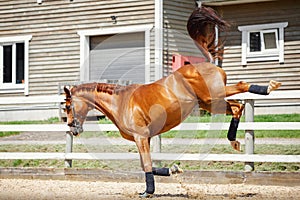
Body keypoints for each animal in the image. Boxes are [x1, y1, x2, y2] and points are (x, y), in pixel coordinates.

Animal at [63, 5, 282, 198]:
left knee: (241, 92)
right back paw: (234, 140)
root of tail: (206, 62)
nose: (72, 128)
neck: (121, 102)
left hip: (213, 96)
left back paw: (267, 89)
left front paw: (148, 191)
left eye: (67, 106)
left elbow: (146, 164)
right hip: (210, 103)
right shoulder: (145, 139)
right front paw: (173, 170)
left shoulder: (141, 137)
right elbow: (146, 164)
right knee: (237, 106)